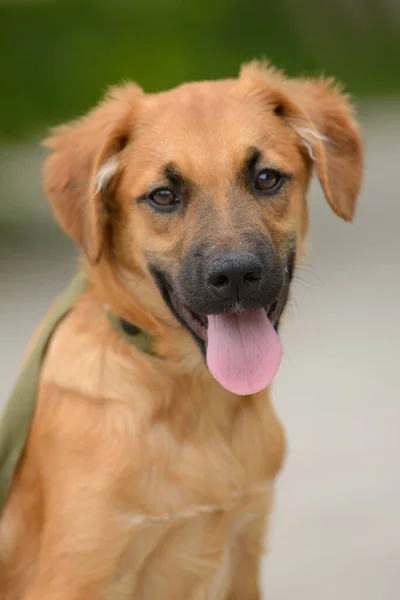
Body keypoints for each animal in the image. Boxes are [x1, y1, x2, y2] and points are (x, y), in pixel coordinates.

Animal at [0, 62, 362, 600]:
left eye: (266, 178)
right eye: (164, 196)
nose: (235, 275)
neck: (194, 404)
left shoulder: (243, 552)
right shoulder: (76, 572)